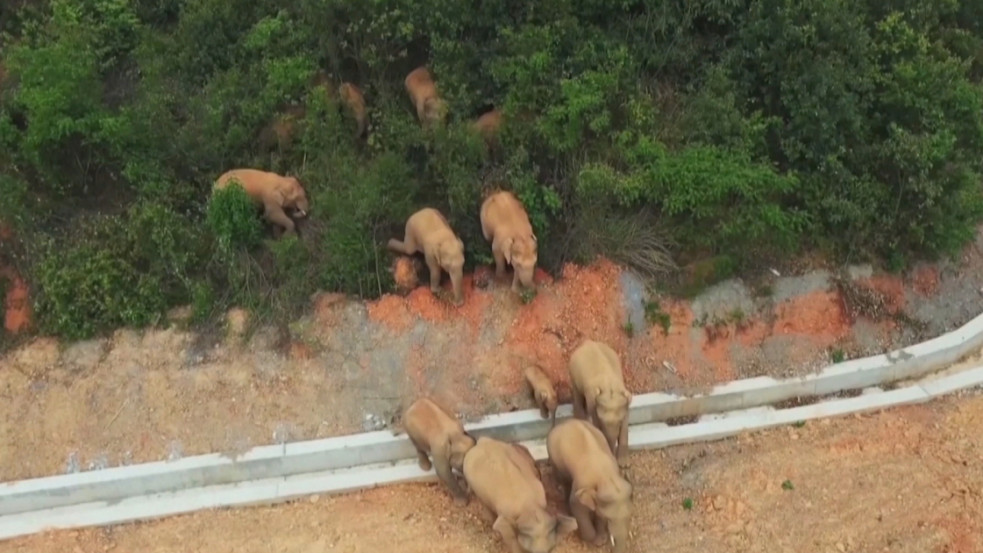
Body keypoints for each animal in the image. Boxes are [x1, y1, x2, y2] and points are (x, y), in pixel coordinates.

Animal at [548, 418, 636, 552]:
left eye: (629, 515)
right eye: (609, 519)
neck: (607, 477)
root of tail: (565, 421)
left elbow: (598, 512)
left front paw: (601, 538)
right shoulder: (582, 485)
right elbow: (577, 506)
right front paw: (595, 541)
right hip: (555, 459)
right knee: (564, 482)